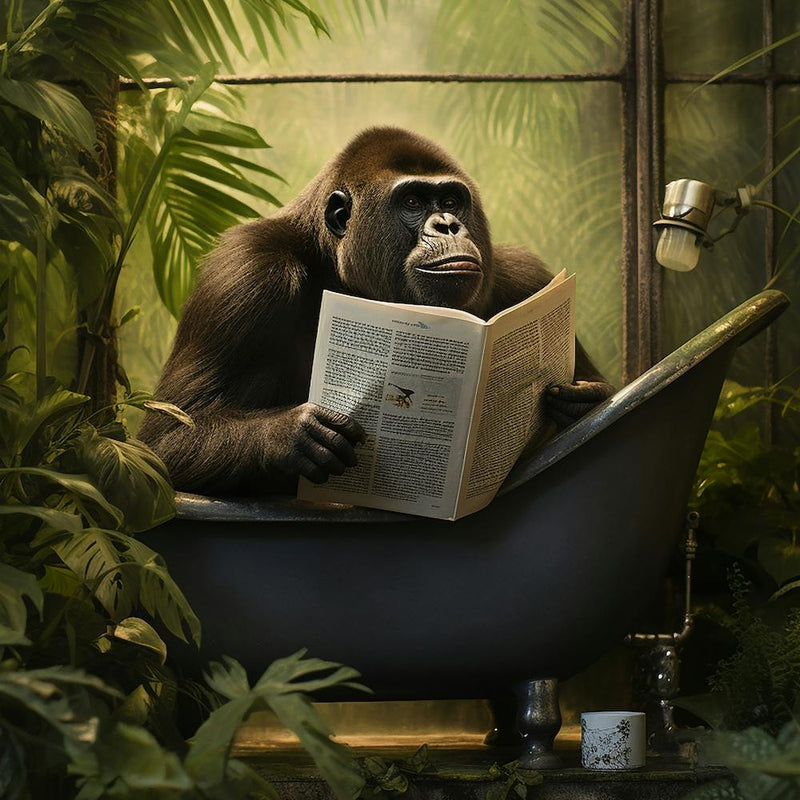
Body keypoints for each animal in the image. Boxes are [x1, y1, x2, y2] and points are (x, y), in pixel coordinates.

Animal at [139, 127, 614, 496]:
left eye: (451, 201)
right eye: (413, 202)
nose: (448, 226)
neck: (331, 258)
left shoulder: (524, 277)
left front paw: (580, 400)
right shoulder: (248, 269)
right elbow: (164, 442)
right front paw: (291, 436)